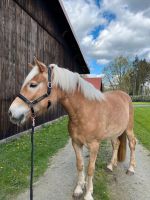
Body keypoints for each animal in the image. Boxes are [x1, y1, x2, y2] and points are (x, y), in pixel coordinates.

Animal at [8, 57, 137, 200]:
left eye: (33, 85)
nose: (11, 113)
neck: (85, 111)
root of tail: (125, 95)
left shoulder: (94, 146)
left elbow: (90, 169)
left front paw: (88, 194)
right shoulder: (76, 143)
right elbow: (80, 165)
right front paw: (79, 189)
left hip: (128, 129)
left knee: (132, 143)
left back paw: (131, 169)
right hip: (114, 133)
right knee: (116, 144)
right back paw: (110, 165)